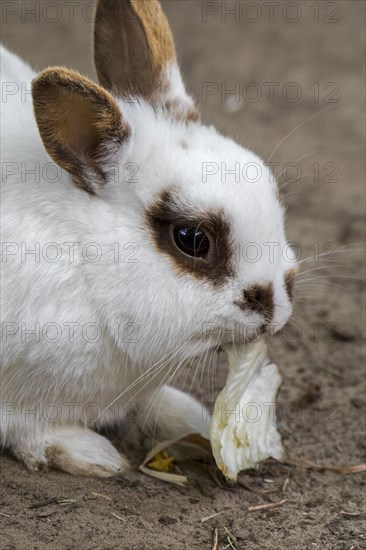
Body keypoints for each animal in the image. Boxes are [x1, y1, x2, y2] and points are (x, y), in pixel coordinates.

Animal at [0, 0, 296, 478]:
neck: (86, 262)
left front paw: (188, 416)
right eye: (192, 239)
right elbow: (28, 428)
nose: (276, 309)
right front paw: (90, 454)